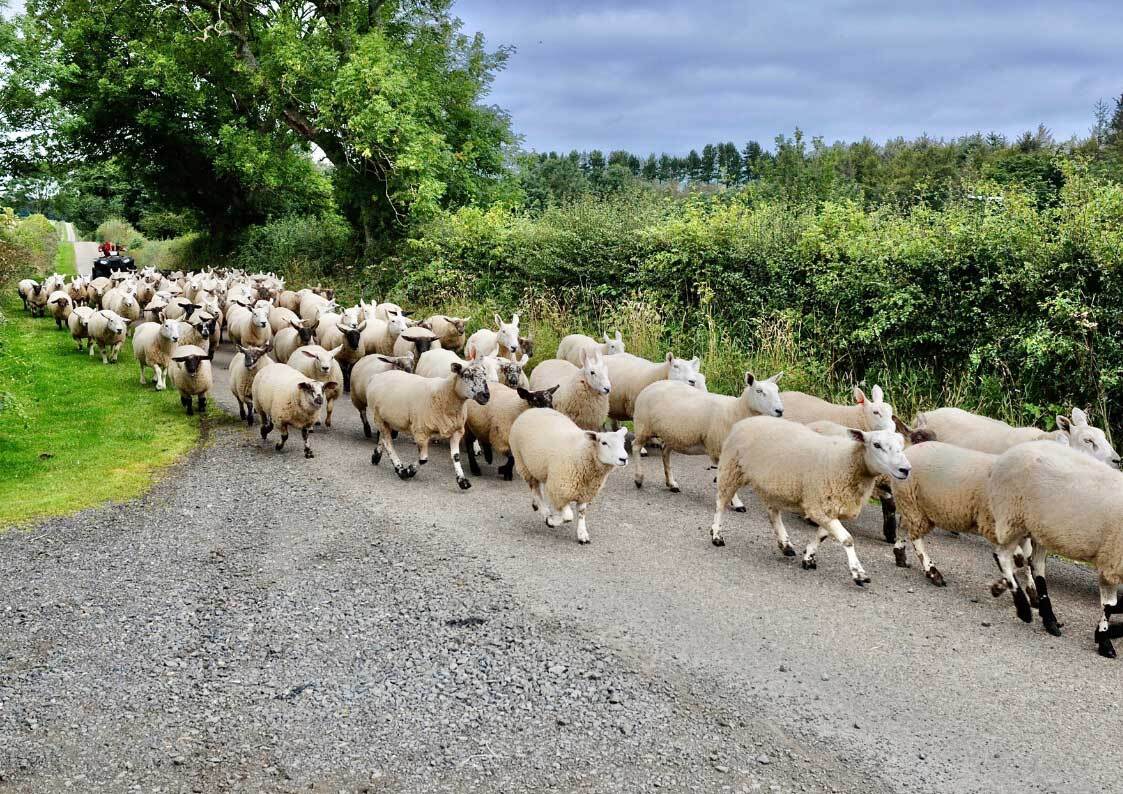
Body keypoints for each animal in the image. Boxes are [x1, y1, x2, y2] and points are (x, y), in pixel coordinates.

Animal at [508, 409, 630, 544]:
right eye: (604, 443)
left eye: (623, 443)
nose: (624, 459)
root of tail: (532, 410)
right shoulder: (560, 490)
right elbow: (568, 516)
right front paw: (551, 521)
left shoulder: (585, 492)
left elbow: (581, 513)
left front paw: (582, 534)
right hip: (523, 464)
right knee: (535, 490)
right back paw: (545, 511)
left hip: (539, 467)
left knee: (539, 487)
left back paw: (536, 505)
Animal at [632, 372, 784, 508]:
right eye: (759, 391)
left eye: (777, 390)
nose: (780, 410)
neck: (735, 411)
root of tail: (652, 385)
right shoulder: (718, 450)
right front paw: (736, 503)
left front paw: (735, 501)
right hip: (643, 425)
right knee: (635, 446)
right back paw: (639, 478)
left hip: (673, 434)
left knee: (665, 453)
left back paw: (671, 484)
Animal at [711, 416, 912, 585]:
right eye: (876, 444)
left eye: (901, 445)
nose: (906, 469)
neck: (847, 461)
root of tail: (745, 420)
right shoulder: (818, 506)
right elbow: (847, 539)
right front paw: (858, 573)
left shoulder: (829, 507)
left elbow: (822, 535)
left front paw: (808, 557)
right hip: (732, 468)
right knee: (721, 503)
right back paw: (716, 535)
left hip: (773, 485)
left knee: (773, 514)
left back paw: (785, 545)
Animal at [988, 441, 1123, 657]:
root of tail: (1008, 454)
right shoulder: (1112, 560)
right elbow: (1110, 605)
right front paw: (1104, 642)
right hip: (1013, 515)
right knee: (1002, 555)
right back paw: (1024, 609)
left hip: (1040, 528)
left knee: (1036, 566)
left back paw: (1048, 618)